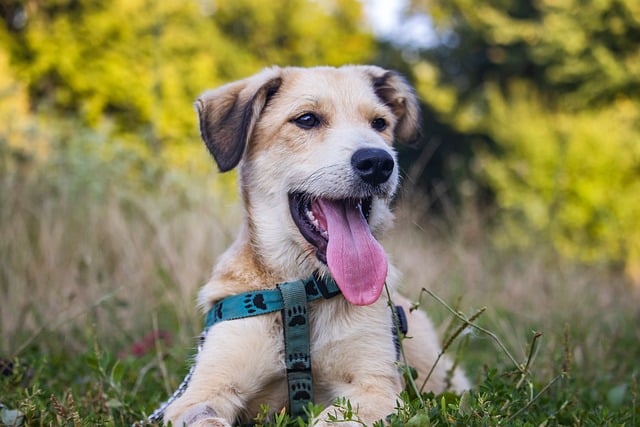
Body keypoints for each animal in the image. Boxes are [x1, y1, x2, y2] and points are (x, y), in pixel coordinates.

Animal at [161, 65, 470, 426]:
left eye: (380, 123)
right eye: (307, 119)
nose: (378, 163)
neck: (300, 290)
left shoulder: (377, 387)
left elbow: (333, 418)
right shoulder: (203, 391)